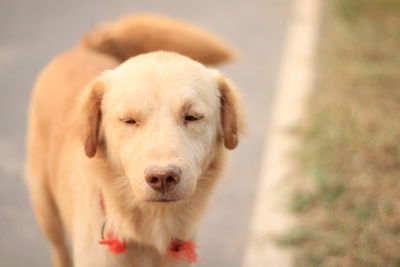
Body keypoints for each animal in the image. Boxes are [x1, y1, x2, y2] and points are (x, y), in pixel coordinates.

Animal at [26, 14, 244, 267]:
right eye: (129, 120)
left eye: (192, 117)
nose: (162, 177)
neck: (152, 236)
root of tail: (84, 47)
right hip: (45, 207)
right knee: (58, 247)